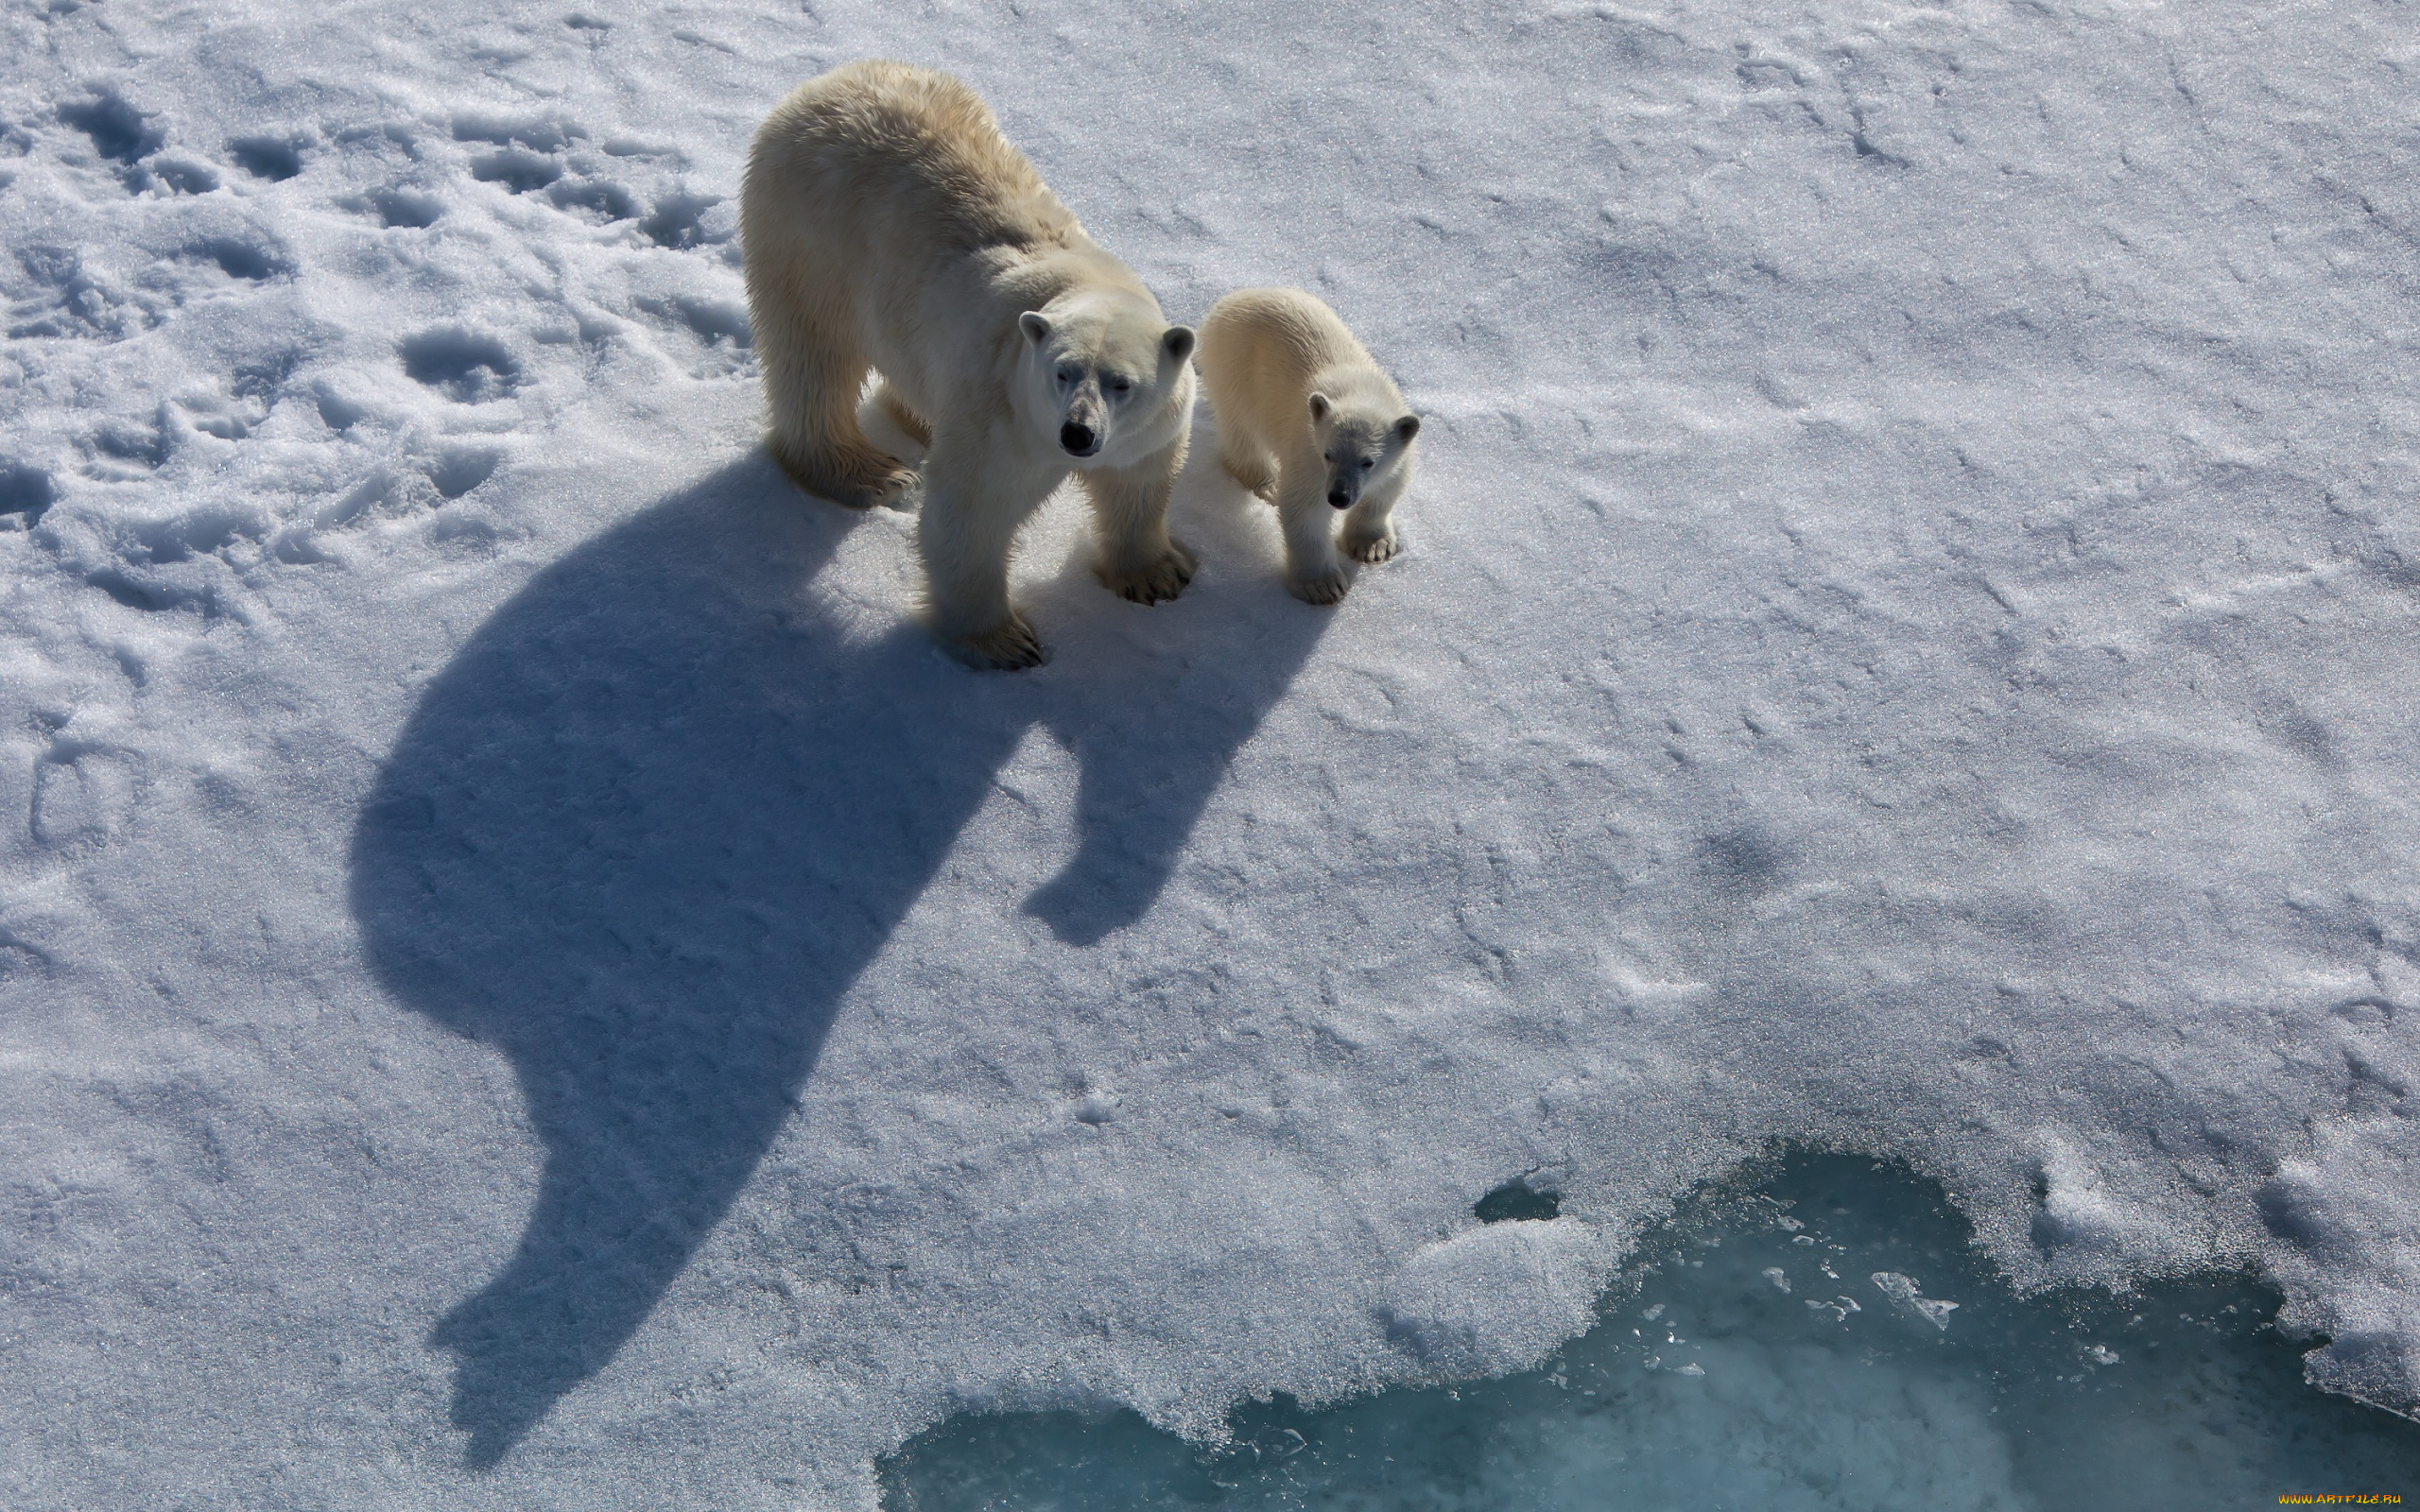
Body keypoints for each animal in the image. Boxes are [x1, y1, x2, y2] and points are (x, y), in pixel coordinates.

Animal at [735, 63, 1190, 667]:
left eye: (1122, 384)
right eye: (1061, 372)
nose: (1078, 434)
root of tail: (820, 86)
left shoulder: (1148, 427)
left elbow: (1140, 482)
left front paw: (1157, 576)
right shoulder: (1002, 416)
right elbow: (971, 514)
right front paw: (1006, 642)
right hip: (808, 238)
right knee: (813, 358)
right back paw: (869, 473)